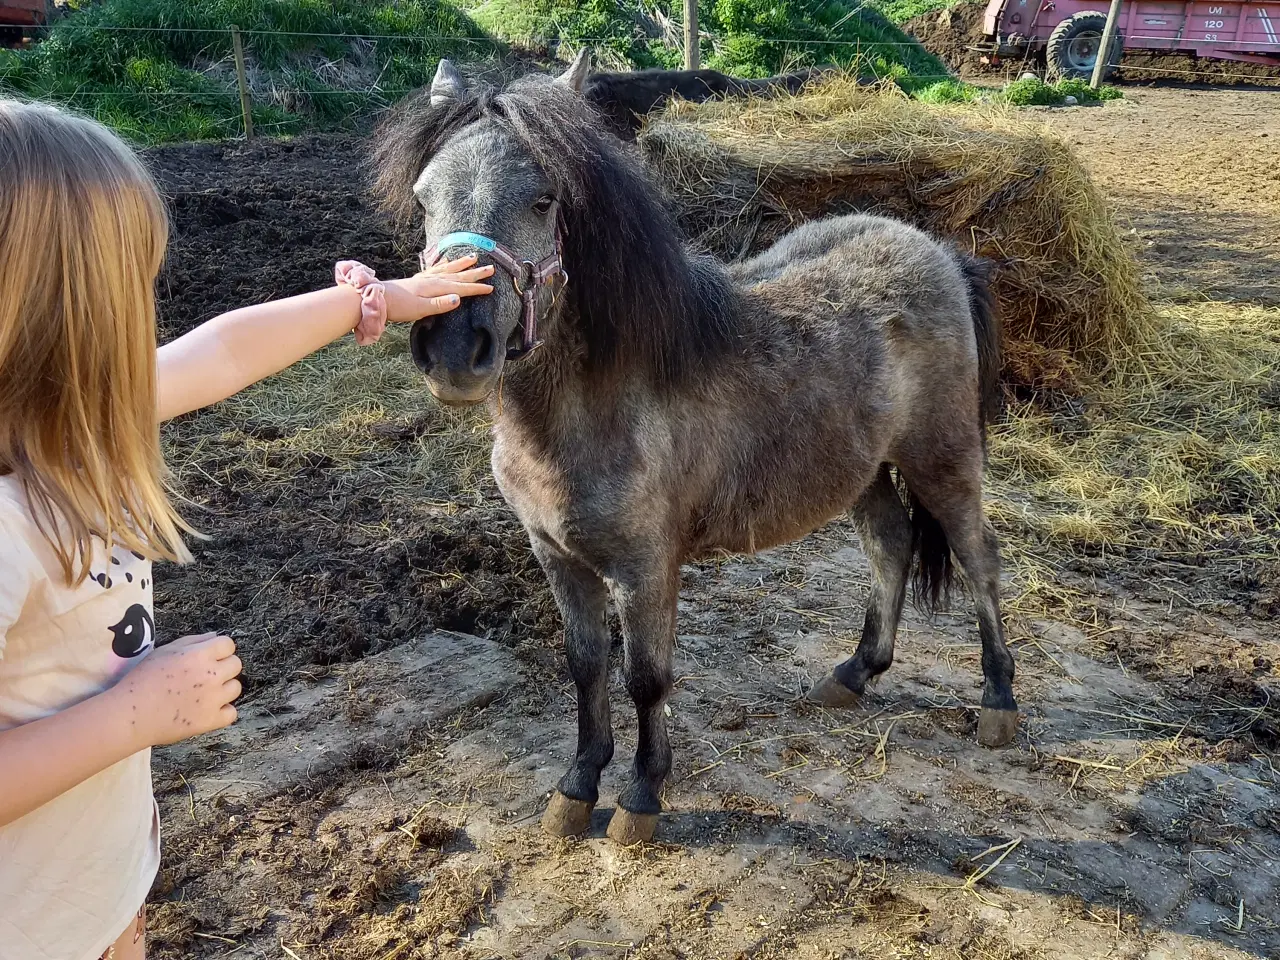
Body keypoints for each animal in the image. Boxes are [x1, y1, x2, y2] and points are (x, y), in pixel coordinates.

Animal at [373, 54, 1018, 849]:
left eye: (544, 199)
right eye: (424, 198)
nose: (454, 349)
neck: (593, 407)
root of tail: (944, 256)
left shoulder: (647, 568)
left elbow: (646, 678)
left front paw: (642, 796)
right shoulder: (557, 557)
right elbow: (586, 667)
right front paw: (576, 787)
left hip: (942, 460)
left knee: (977, 558)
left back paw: (997, 701)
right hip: (863, 471)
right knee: (891, 548)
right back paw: (854, 674)